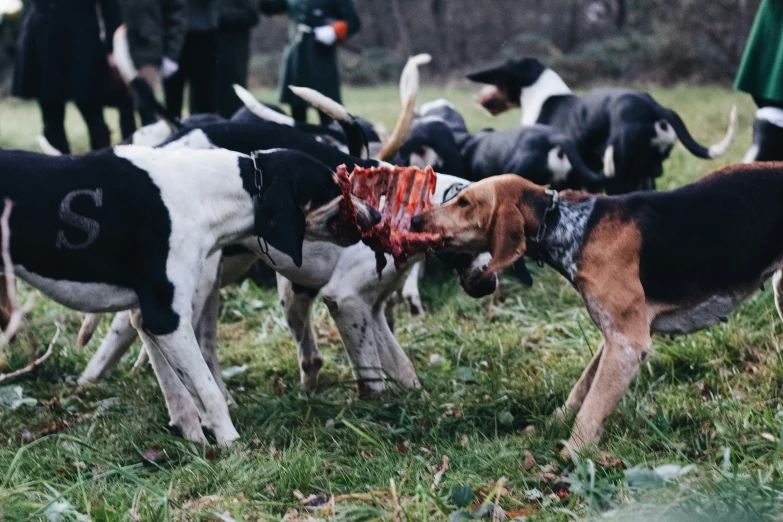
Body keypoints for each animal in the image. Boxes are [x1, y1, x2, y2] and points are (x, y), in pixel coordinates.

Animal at [2, 146, 376, 442]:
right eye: (333, 186)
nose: (375, 215)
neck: (205, 195)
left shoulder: (148, 320)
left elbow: (179, 393)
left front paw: (195, 441)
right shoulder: (166, 319)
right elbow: (208, 391)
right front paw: (231, 445)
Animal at [414, 162, 783, 450]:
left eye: (464, 201)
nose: (417, 220)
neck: (563, 223)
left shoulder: (627, 344)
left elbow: (589, 411)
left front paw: (569, 459)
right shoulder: (612, 340)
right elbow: (581, 390)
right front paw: (552, 426)